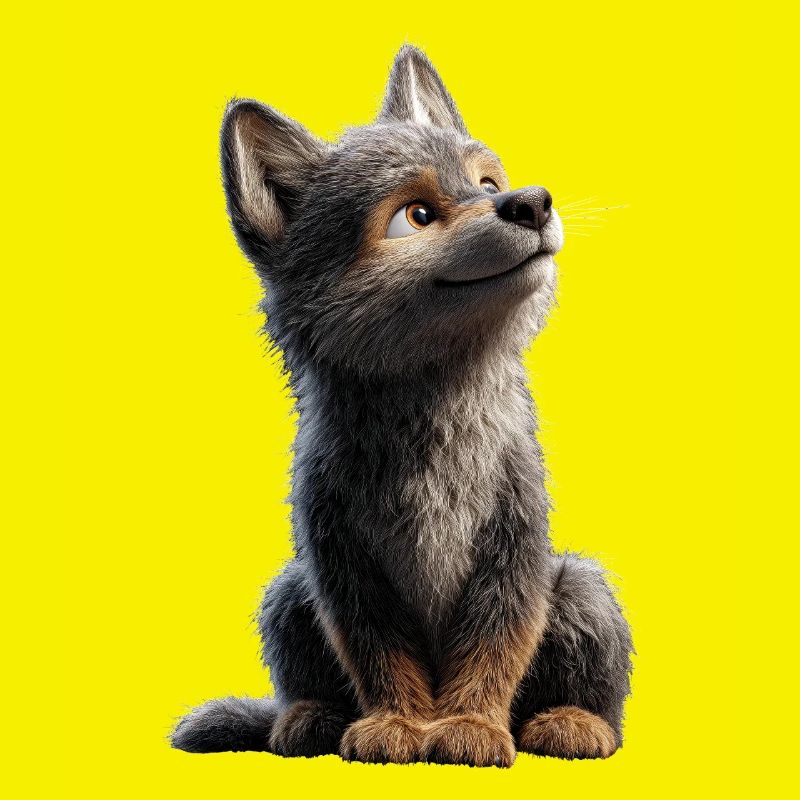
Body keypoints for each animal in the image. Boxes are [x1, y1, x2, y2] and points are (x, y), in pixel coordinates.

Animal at [171, 45, 633, 767]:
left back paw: (574, 722)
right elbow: (379, 651)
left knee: (594, 694)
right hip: (288, 594)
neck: (430, 417)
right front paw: (400, 724)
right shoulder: (341, 563)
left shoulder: (514, 549)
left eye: (488, 181)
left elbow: (494, 645)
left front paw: (470, 726)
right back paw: (307, 719)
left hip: (582, 588)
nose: (532, 202)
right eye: (414, 216)